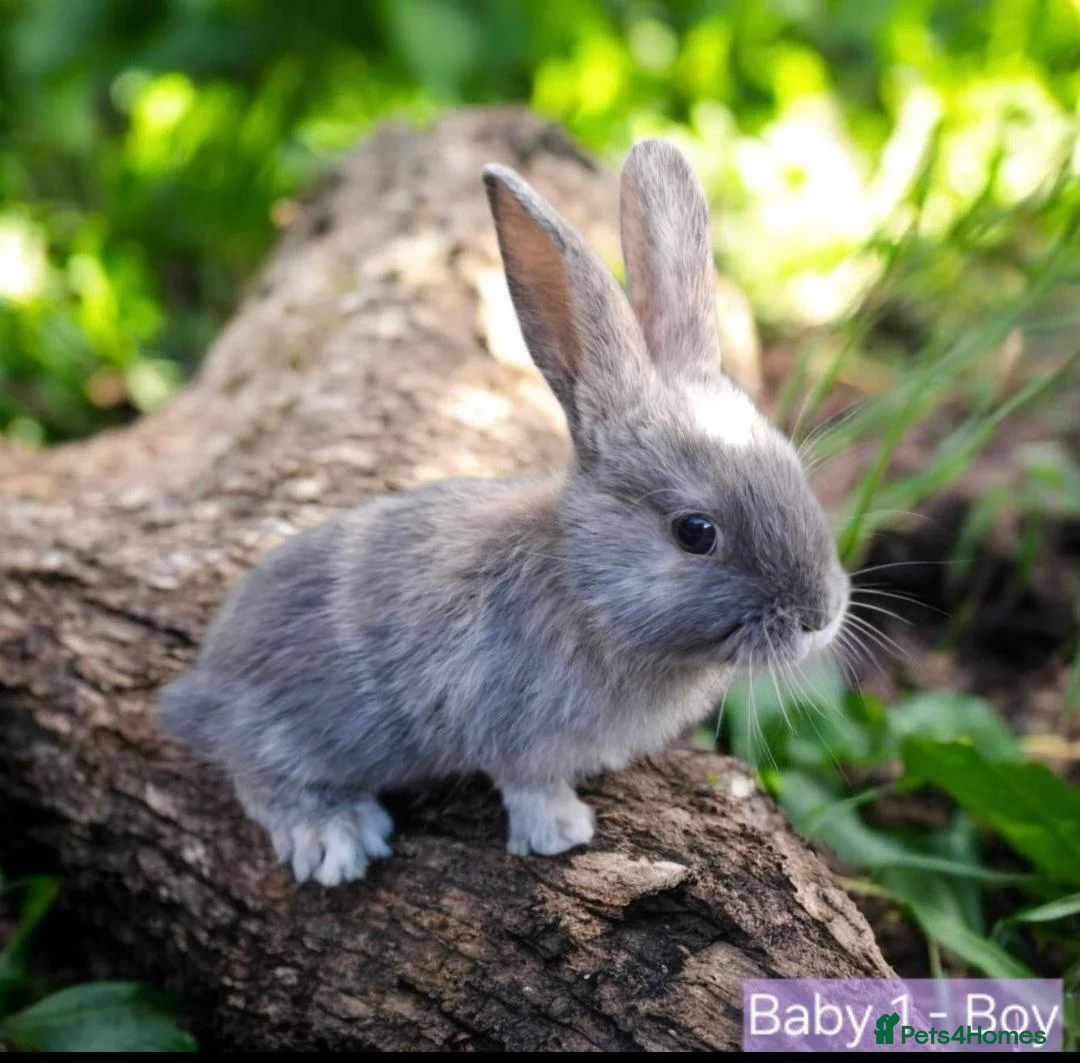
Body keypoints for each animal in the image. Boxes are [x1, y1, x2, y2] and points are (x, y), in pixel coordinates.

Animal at [158, 139, 850, 887]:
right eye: (696, 532)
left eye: (794, 468)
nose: (820, 616)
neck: (585, 587)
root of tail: (199, 688)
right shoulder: (516, 729)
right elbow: (530, 785)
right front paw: (563, 834)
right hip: (291, 732)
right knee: (260, 778)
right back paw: (335, 837)